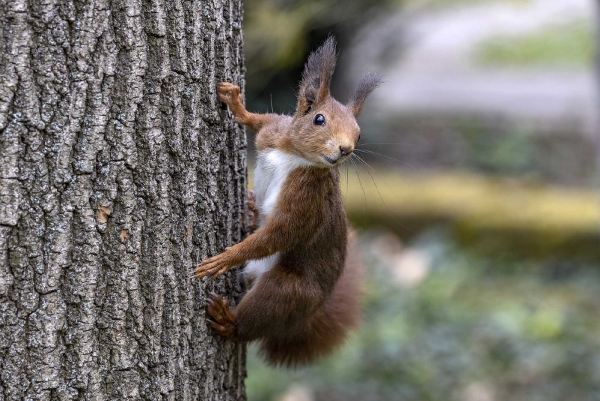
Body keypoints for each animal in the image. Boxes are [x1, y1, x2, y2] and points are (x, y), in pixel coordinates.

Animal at [193, 37, 380, 366]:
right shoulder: (274, 131)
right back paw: (251, 211)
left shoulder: (308, 200)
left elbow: (281, 232)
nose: (345, 149)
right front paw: (236, 104)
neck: (293, 155)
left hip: (287, 290)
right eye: (319, 119)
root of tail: (305, 317)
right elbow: (259, 120)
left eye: (358, 134)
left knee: (254, 321)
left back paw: (228, 320)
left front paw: (225, 258)